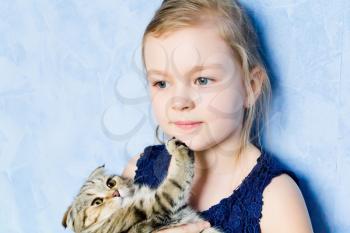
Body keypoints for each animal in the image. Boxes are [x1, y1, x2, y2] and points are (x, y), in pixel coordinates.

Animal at [62, 139, 221, 232]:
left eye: (110, 183)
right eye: (97, 202)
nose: (116, 193)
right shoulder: (158, 204)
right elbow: (177, 176)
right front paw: (177, 148)